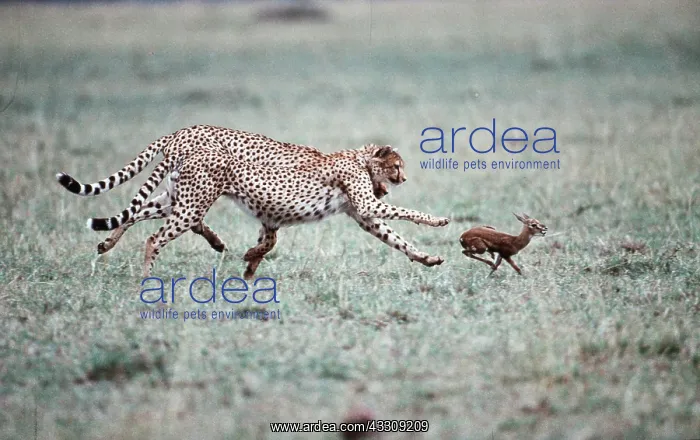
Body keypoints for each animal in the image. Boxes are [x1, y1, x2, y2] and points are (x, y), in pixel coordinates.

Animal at [56, 126, 449, 279]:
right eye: (396, 166)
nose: (403, 179)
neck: (358, 159)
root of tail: (181, 132)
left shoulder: (361, 215)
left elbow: (398, 240)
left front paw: (427, 258)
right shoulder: (367, 207)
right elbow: (407, 214)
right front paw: (439, 220)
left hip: (178, 199)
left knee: (135, 213)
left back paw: (107, 243)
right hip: (191, 204)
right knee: (154, 236)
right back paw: (147, 276)